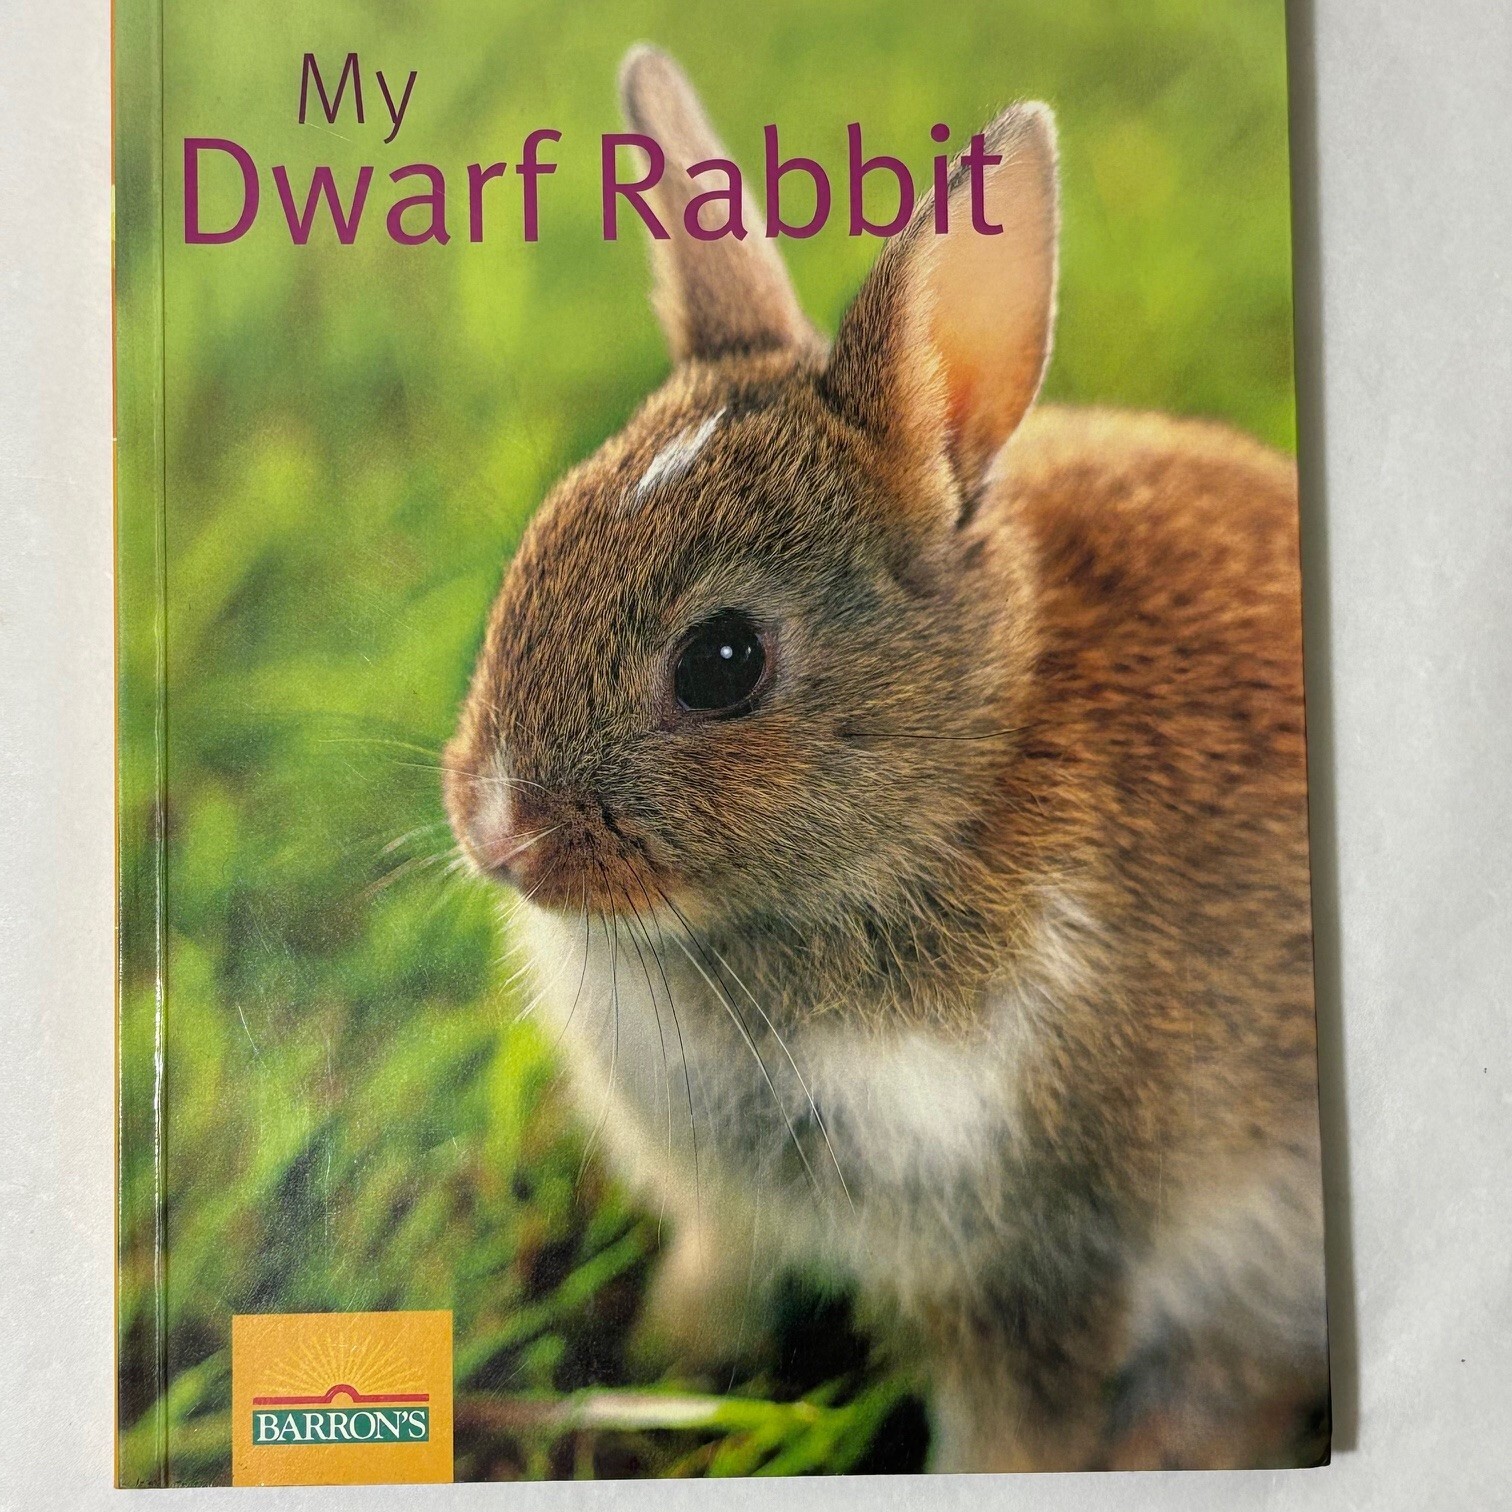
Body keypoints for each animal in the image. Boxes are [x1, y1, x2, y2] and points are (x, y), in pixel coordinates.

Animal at [443, 44, 1329, 1472]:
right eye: (543, 539)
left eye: (725, 663)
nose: (498, 834)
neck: (950, 799)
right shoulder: (734, 1218)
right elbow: (712, 1286)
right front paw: (660, 1365)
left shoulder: (1043, 1259)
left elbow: (1018, 1428)